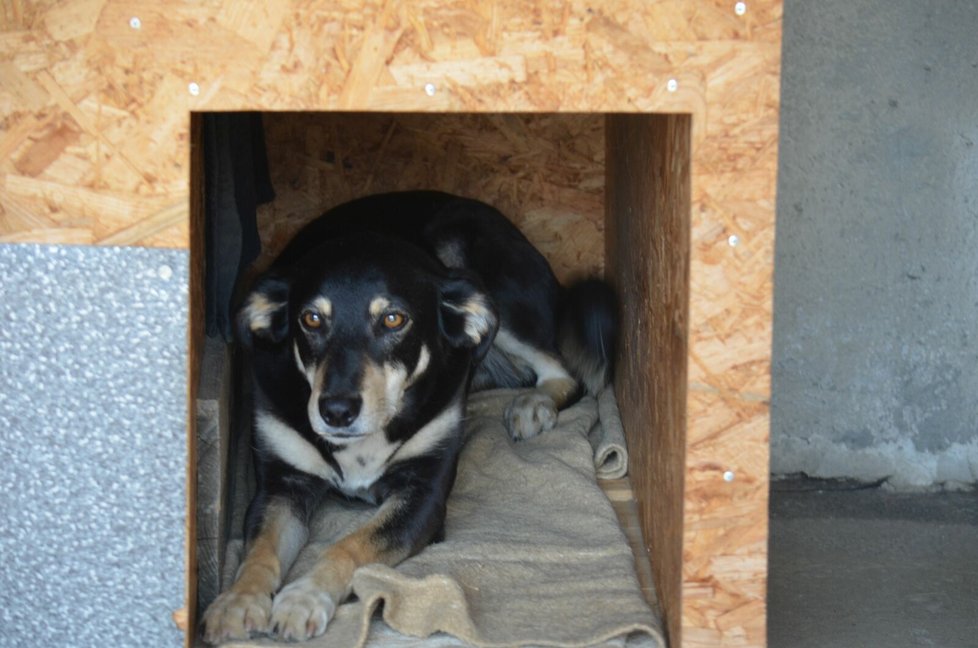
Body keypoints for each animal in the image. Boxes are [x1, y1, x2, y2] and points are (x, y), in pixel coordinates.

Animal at [200, 189, 616, 644]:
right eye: (311, 319)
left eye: (393, 319)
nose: (336, 411)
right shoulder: (281, 487)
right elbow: (259, 550)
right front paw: (237, 600)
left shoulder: (423, 497)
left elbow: (349, 544)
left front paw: (304, 597)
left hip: (484, 275)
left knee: (565, 372)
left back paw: (534, 404)